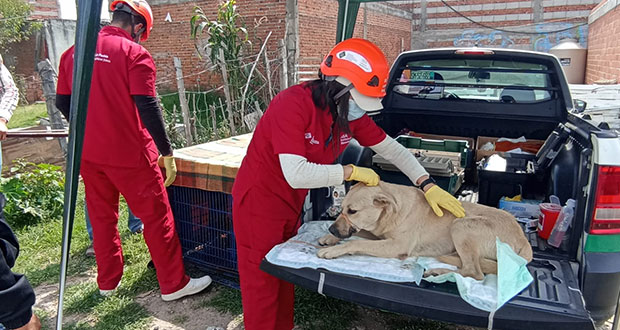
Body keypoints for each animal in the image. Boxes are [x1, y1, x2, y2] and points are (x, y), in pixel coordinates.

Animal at [318, 182, 532, 280]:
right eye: (341, 208)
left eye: (352, 211)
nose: (331, 228)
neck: (392, 212)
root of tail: (523, 240)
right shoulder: (378, 234)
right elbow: (358, 233)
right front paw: (329, 238)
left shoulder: (397, 246)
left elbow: (356, 241)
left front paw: (332, 250)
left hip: (461, 225)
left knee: (475, 272)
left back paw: (439, 271)